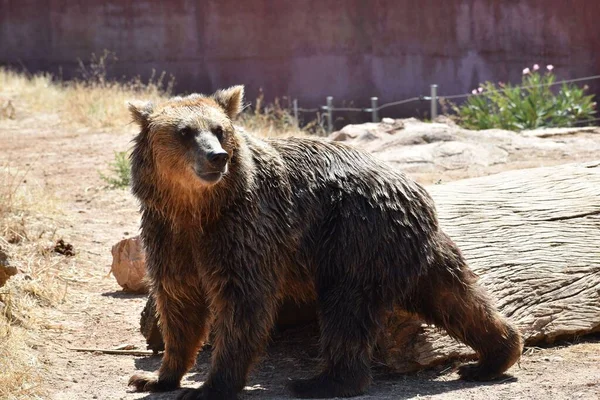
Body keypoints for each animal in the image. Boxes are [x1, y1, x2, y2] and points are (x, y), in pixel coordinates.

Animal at [126, 86, 520, 398]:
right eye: (185, 131)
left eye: (220, 130)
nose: (216, 157)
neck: (197, 208)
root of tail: (414, 190)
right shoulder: (170, 236)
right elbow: (179, 303)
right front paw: (156, 377)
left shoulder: (244, 229)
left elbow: (243, 302)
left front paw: (212, 386)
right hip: (408, 246)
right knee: (456, 296)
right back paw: (494, 355)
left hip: (353, 234)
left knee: (346, 305)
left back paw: (320, 382)